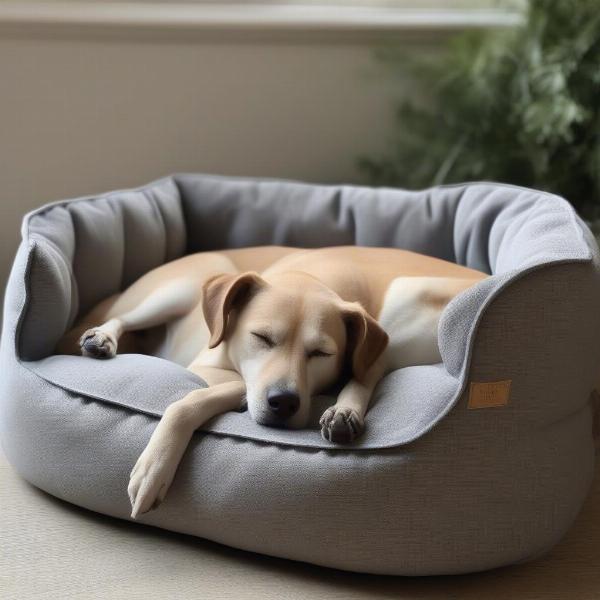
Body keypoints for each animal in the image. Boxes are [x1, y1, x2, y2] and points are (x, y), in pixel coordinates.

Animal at [57, 244, 488, 516]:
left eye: (321, 354)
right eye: (261, 338)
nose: (283, 402)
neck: (311, 277)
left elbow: (203, 399)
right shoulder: (204, 367)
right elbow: (193, 399)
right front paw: (154, 469)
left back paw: (344, 411)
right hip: (179, 288)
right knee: (124, 317)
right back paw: (103, 338)